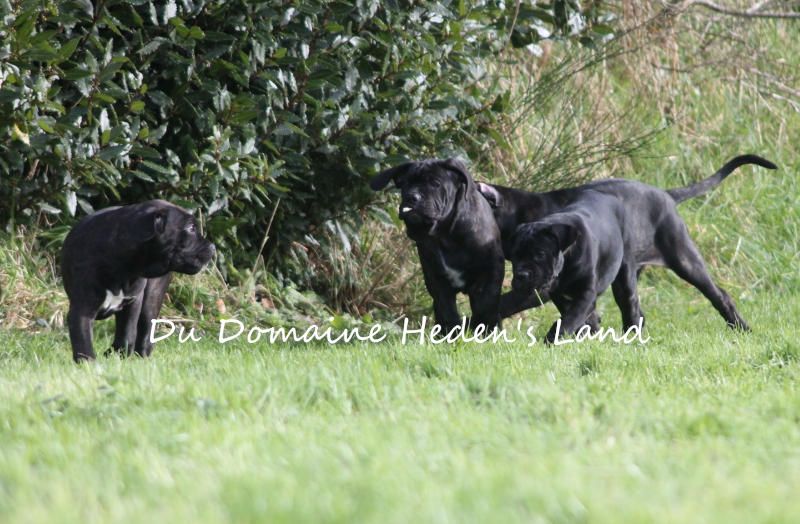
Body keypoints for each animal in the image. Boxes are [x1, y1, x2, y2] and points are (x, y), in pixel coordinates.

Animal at [61, 199, 216, 362]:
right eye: (191, 228)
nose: (212, 246)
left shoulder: (132, 303)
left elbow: (127, 334)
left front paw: (118, 355)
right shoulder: (82, 309)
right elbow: (83, 342)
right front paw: (89, 363)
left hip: (151, 300)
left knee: (146, 330)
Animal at [370, 159, 506, 332]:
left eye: (435, 183)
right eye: (405, 184)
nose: (412, 196)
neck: (445, 235)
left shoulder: (489, 275)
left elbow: (486, 307)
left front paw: (487, 331)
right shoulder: (437, 281)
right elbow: (447, 311)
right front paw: (450, 333)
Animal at [496, 154, 780, 338]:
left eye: (540, 254)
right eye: (515, 257)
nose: (521, 275)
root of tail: (665, 194)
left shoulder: (584, 292)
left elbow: (569, 319)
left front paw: (554, 340)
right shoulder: (551, 292)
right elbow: (575, 315)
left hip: (683, 260)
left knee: (718, 295)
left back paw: (741, 328)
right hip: (630, 275)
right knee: (635, 311)